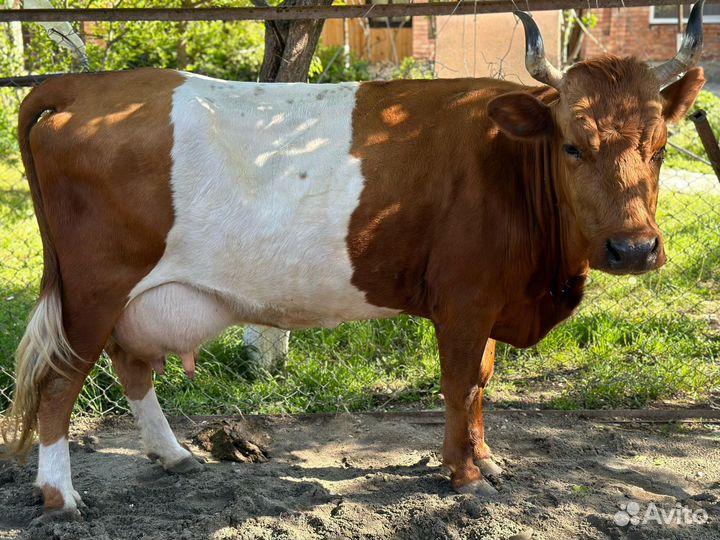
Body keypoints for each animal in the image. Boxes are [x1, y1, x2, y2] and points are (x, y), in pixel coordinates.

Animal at [0, 3, 706, 522]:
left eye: (660, 144)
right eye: (572, 146)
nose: (634, 249)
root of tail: (89, 85)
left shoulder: (488, 299)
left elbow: (481, 381)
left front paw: (484, 459)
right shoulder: (464, 298)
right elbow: (459, 383)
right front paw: (464, 474)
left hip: (131, 295)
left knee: (131, 364)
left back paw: (173, 454)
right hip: (93, 289)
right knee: (60, 381)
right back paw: (61, 496)